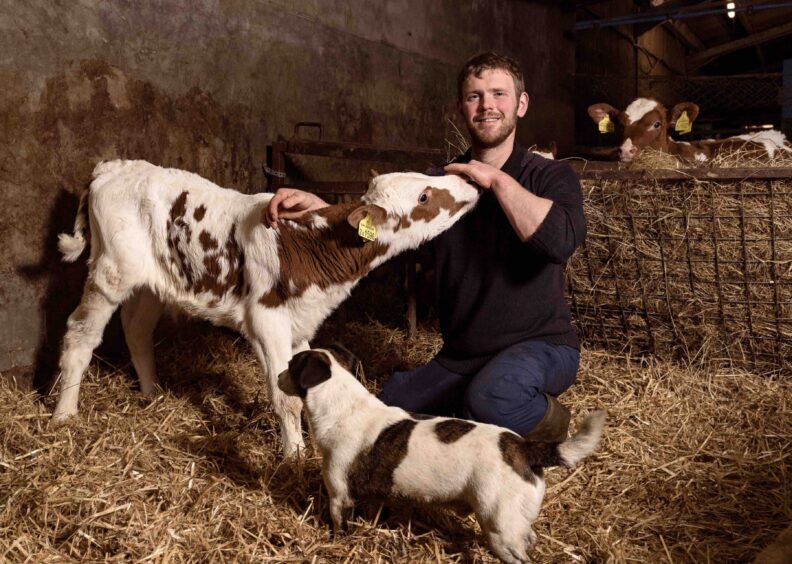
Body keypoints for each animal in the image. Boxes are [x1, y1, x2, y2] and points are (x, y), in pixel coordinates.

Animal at [52, 158, 480, 454]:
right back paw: (64, 415)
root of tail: (113, 167)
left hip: (151, 283)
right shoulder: (266, 320)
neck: (308, 244)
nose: (468, 181)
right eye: (423, 196)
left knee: (136, 329)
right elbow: (286, 397)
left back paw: (152, 394)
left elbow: (309, 387)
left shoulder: (301, 323)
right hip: (110, 273)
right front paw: (294, 458)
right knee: (80, 335)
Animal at [278, 348, 608, 564]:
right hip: (515, 523)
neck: (343, 407)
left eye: (291, 365)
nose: (278, 375)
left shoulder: (339, 496)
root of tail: (525, 449)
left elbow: (339, 525)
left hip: (501, 528)